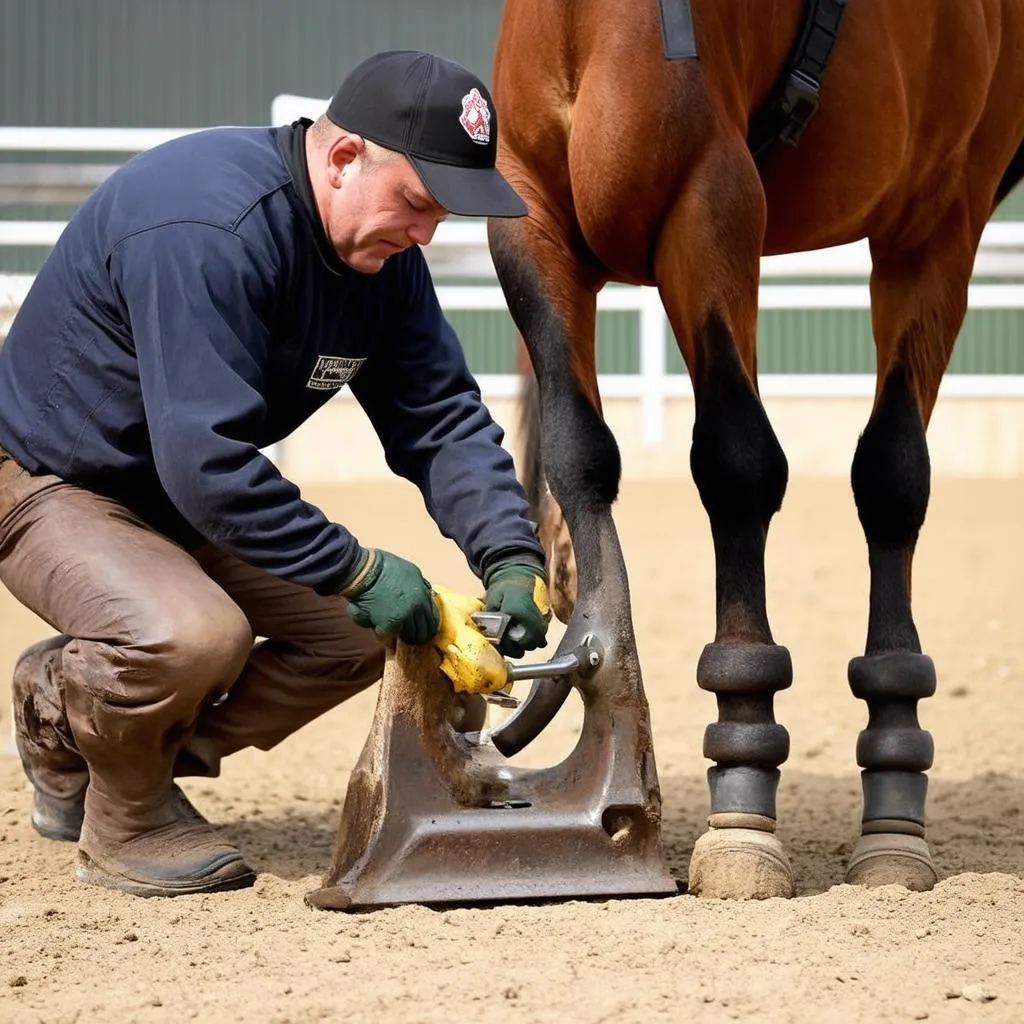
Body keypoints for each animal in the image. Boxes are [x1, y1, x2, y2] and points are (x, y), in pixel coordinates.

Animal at [485, 0, 1024, 897]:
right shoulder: (529, 216)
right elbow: (580, 450)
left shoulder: (726, 204)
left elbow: (749, 463)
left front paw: (746, 767)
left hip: (924, 224)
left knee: (887, 476)